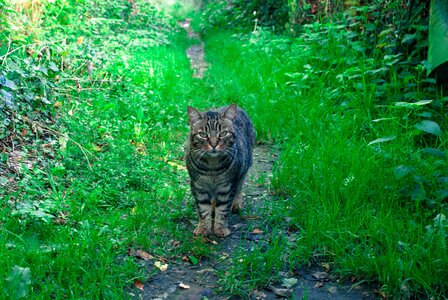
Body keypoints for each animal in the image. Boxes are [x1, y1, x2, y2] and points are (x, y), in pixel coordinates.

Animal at [186, 103, 256, 237]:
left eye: (223, 133)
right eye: (203, 134)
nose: (214, 144)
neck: (212, 167)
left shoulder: (227, 187)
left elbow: (223, 209)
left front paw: (220, 228)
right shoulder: (198, 186)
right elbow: (203, 209)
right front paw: (204, 227)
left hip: (243, 170)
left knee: (240, 187)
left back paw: (236, 204)